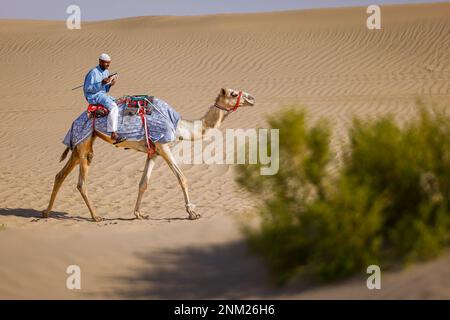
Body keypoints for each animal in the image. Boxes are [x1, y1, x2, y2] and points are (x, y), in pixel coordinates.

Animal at [43, 89, 256, 221]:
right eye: (233, 93)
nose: (251, 98)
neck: (180, 126)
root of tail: (74, 122)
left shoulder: (153, 152)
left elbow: (144, 182)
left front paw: (139, 214)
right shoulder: (163, 145)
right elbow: (182, 178)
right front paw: (192, 213)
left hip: (80, 145)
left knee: (60, 175)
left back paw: (46, 212)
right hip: (85, 142)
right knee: (81, 182)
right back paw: (96, 217)